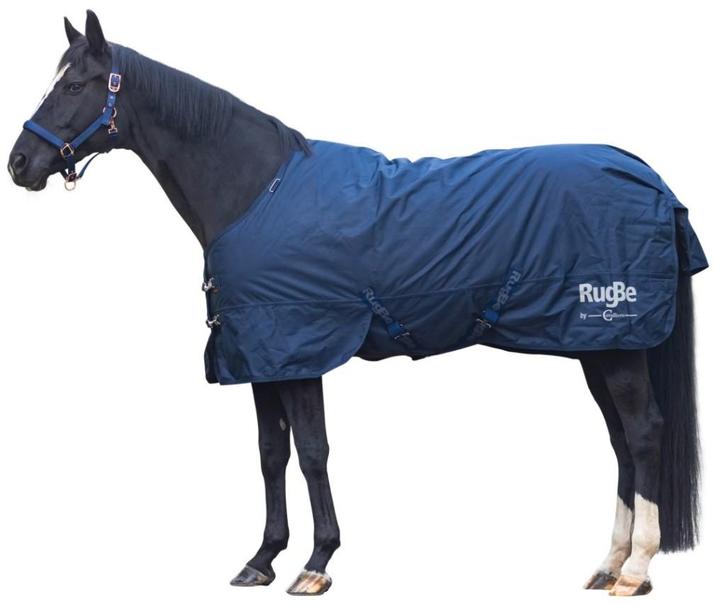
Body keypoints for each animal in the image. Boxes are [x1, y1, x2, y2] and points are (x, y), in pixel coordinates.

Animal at [8, 11, 707, 597]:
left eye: (77, 86)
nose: (20, 163)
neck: (255, 190)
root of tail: (648, 176)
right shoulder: (261, 357)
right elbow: (271, 454)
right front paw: (262, 559)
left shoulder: (300, 348)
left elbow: (313, 452)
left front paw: (317, 563)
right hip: (595, 346)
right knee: (620, 441)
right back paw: (608, 566)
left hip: (616, 344)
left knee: (643, 434)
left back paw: (636, 569)